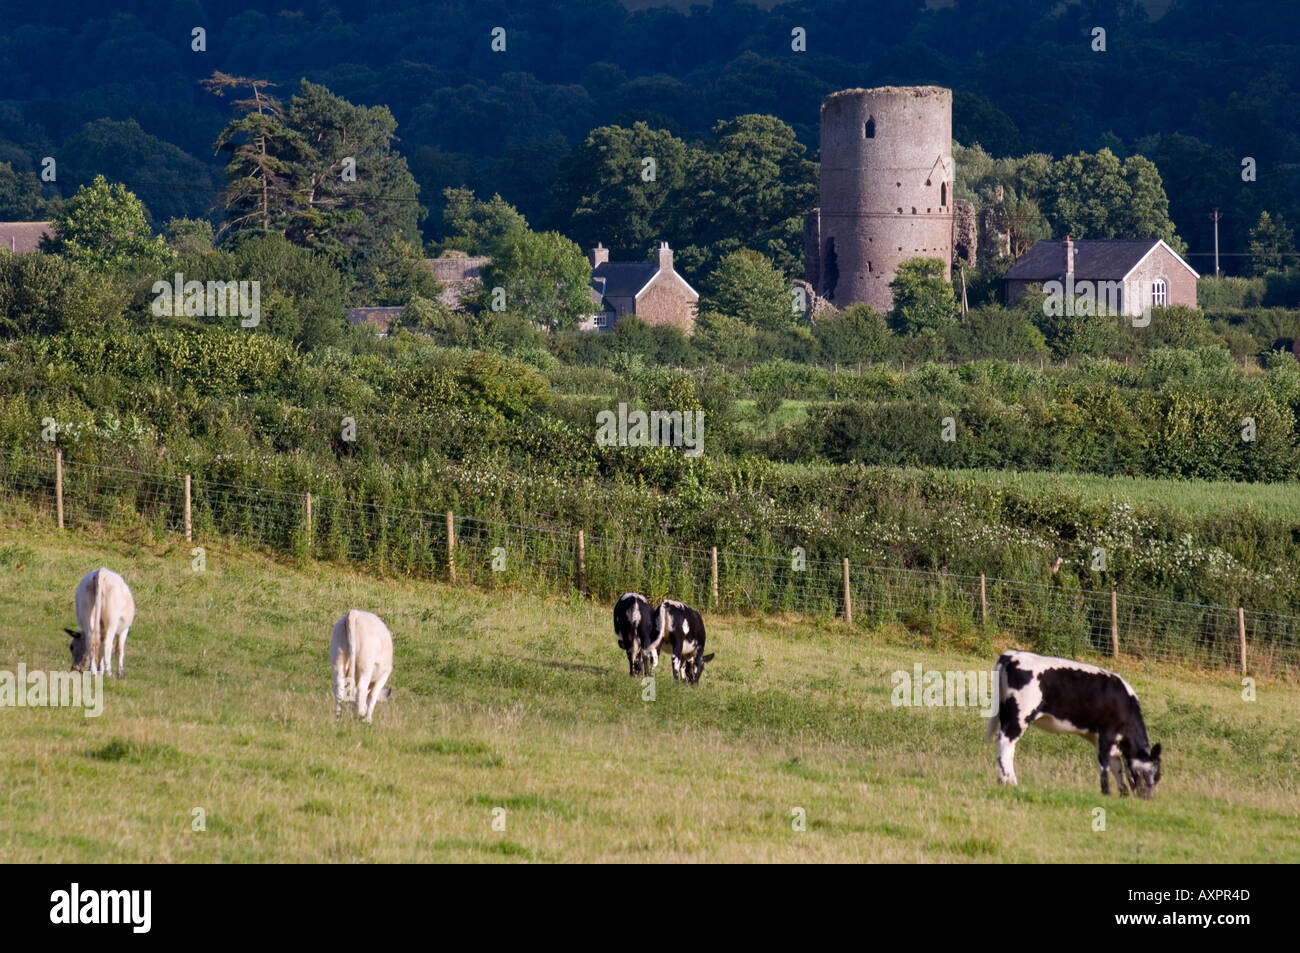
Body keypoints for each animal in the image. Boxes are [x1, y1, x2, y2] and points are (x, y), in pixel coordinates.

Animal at [987, 647, 1164, 795]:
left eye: (1158, 777)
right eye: (1147, 773)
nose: (1147, 797)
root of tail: (1012, 654)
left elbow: (1117, 767)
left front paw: (1123, 794)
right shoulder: (1106, 734)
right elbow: (1105, 764)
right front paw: (1106, 792)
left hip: (1005, 714)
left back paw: (1001, 779)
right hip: (1019, 717)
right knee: (1006, 743)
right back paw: (1010, 780)